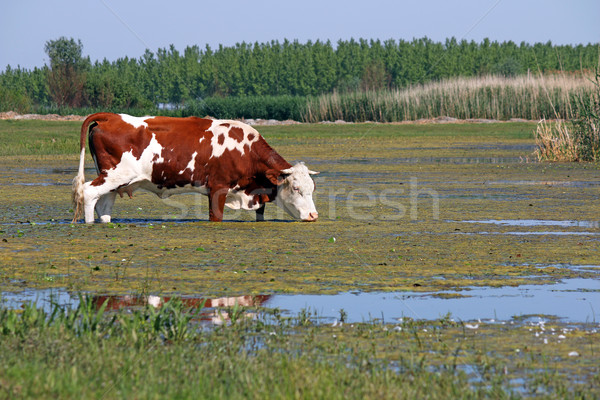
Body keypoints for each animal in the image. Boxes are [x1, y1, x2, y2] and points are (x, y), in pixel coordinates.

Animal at [71, 112, 318, 223]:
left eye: (312, 189)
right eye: (296, 188)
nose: (314, 215)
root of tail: (111, 116)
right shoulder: (217, 189)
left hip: (113, 181)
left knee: (104, 205)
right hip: (114, 175)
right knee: (89, 193)